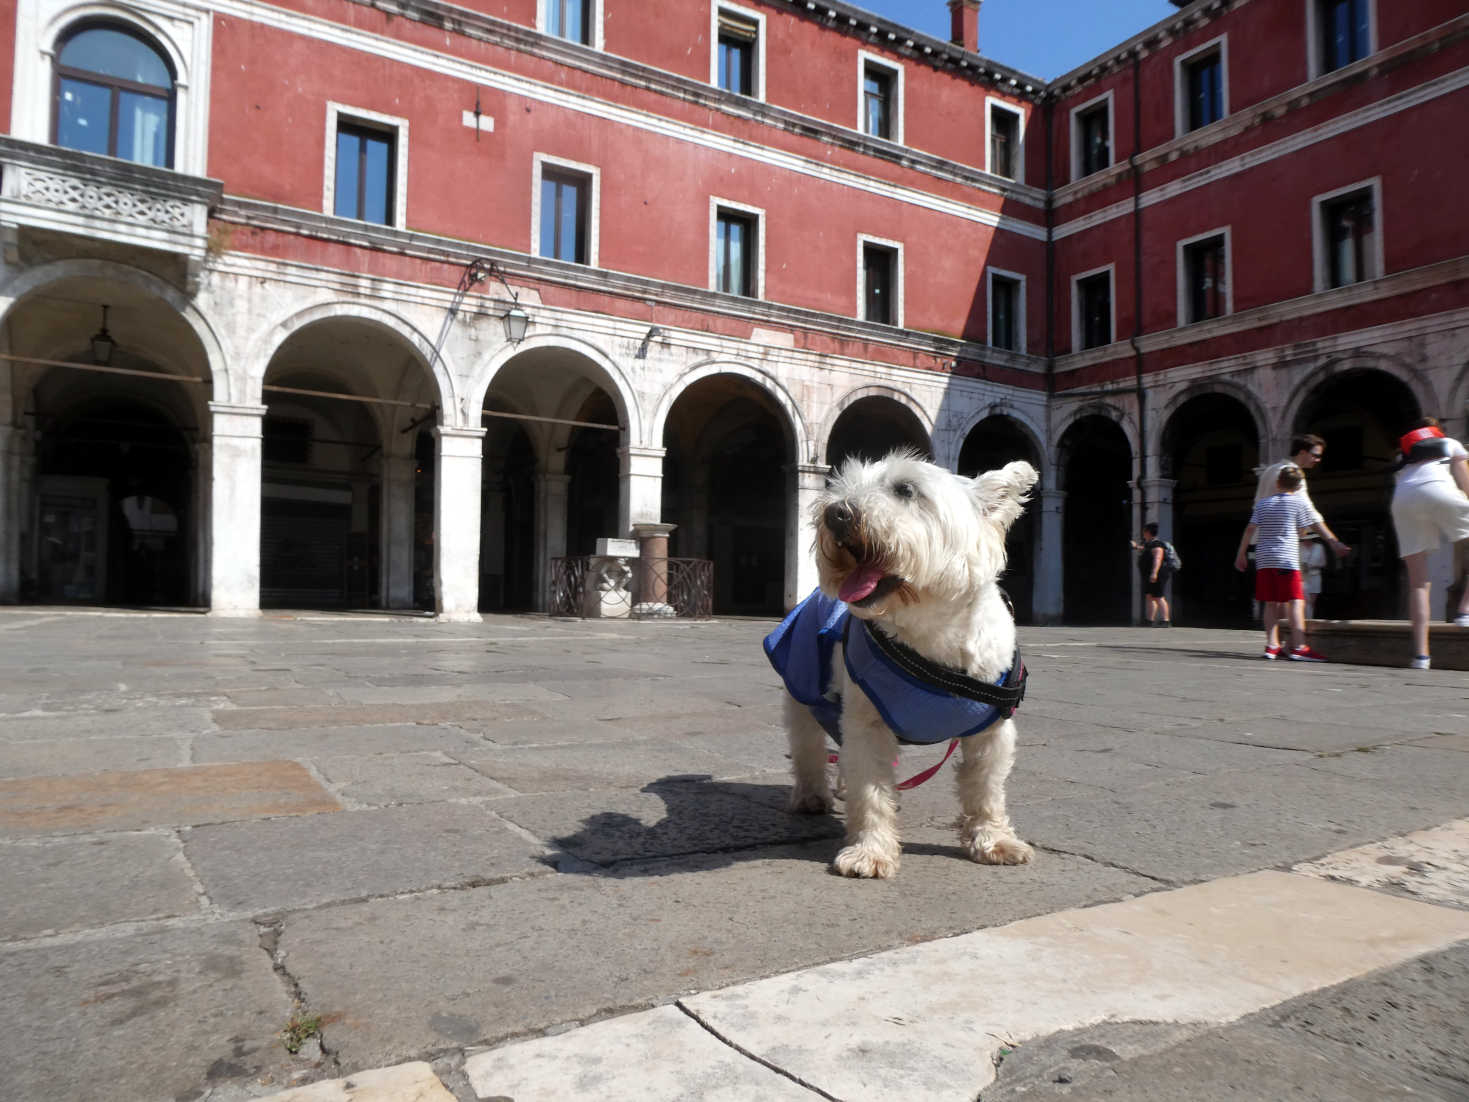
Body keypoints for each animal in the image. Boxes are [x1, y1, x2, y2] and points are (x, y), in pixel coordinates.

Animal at [763, 449, 1040, 881]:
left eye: (906, 490)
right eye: (840, 485)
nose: (835, 514)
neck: (932, 633)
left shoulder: (993, 729)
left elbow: (986, 786)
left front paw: (994, 841)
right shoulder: (868, 719)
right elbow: (871, 787)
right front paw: (870, 852)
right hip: (803, 683)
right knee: (808, 744)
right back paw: (811, 795)